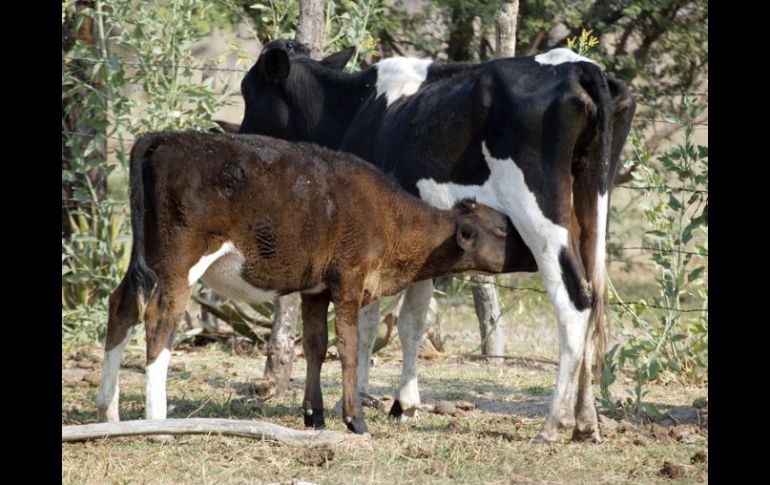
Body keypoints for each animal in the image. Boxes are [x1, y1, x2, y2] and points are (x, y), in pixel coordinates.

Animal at [96, 130, 524, 432]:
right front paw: (355, 420)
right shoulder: (349, 282)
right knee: (158, 320)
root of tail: (166, 138)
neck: (389, 216)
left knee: (122, 305)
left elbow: (316, 346)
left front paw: (313, 415)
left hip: (148, 255)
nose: (532, 249)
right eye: (503, 227)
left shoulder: (315, 290)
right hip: (180, 264)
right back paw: (157, 422)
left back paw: (108, 412)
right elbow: (348, 347)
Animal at [237, 39, 632, 440]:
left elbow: (369, 324)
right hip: (592, 205)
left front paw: (359, 398)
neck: (356, 107)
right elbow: (412, 322)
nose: (240, 135)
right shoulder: (424, 243)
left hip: (540, 215)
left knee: (575, 300)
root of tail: (578, 66)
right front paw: (404, 405)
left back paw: (553, 423)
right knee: (594, 297)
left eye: (248, 90)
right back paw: (586, 422)